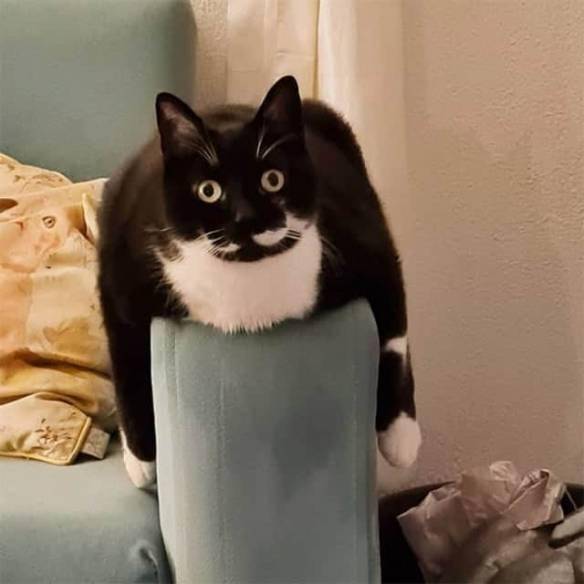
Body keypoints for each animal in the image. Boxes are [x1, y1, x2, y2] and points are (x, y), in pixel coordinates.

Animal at [97, 76, 421, 488]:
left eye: (272, 179)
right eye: (208, 190)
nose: (247, 218)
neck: (247, 284)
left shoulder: (371, 246)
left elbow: (394, 338)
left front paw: (401, 436)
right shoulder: (120, 276)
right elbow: (127, 362)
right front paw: (140, 460)